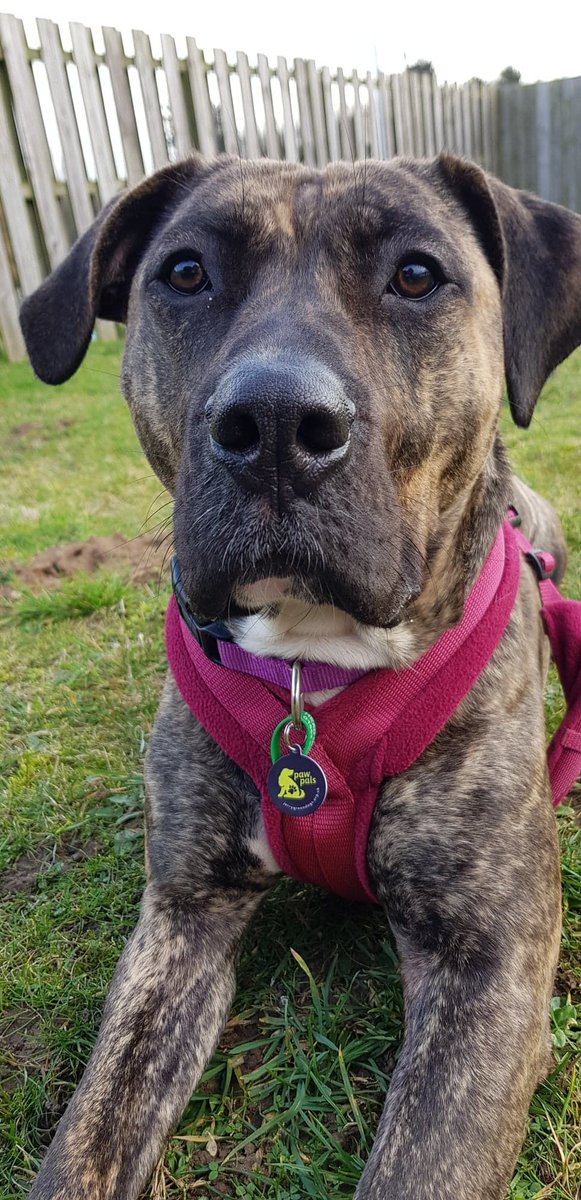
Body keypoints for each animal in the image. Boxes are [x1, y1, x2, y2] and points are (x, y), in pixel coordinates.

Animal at [19, 151, 579, 1200]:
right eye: (186, 273)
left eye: (415, 275)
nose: (275, 421)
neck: (311, 669)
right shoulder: (180, 919)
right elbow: (87, 1139)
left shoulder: (490, 966)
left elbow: (417, 1169)